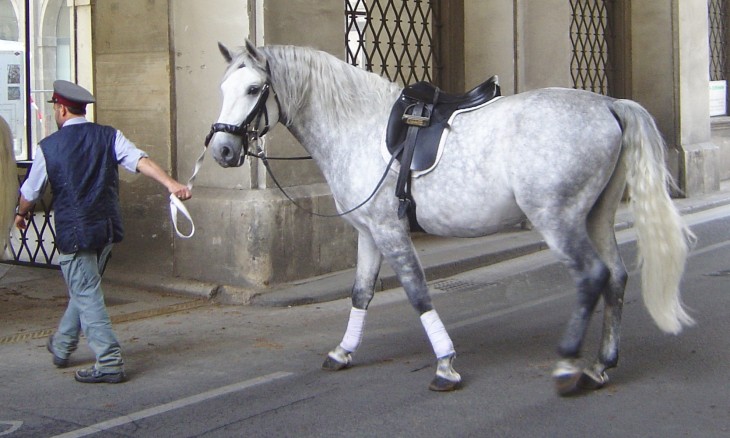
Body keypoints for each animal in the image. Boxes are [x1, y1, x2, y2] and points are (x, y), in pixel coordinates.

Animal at [205, 41, 692, 396]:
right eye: (224, 89)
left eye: (254, 90)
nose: (223, 151)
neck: (357, 125)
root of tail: (609, 104)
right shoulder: (368, 233)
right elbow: (361, 293)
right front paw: (343, 352)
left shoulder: (390, 231)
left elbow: (418, 294)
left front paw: (445, 365)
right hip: (596, 217)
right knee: (616, 277)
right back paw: (601, 364)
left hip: (560, 220)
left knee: (592, 276)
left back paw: (569, 365)